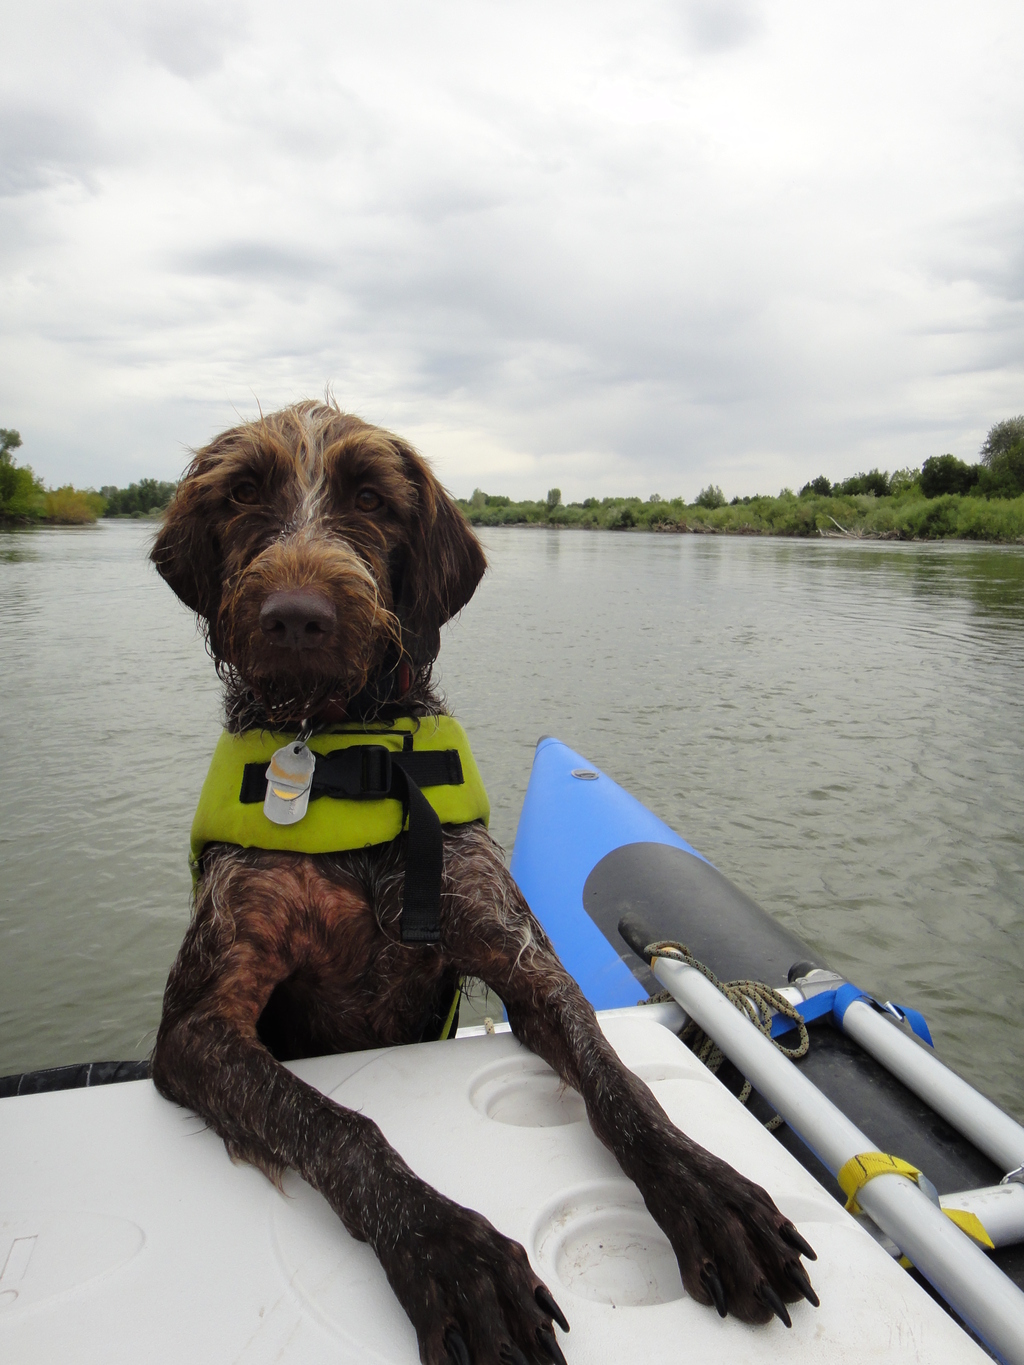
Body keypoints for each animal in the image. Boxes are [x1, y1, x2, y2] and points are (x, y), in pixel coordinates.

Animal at [150, 401, 817, 1365]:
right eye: (243, 492)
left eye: (370, 497)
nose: (296, 617)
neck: (348, 755)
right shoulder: (198, 1026)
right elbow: (341, 1126)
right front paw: (449, 1250)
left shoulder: (523, 959)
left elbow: (625, 1087)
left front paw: (705, 1187)